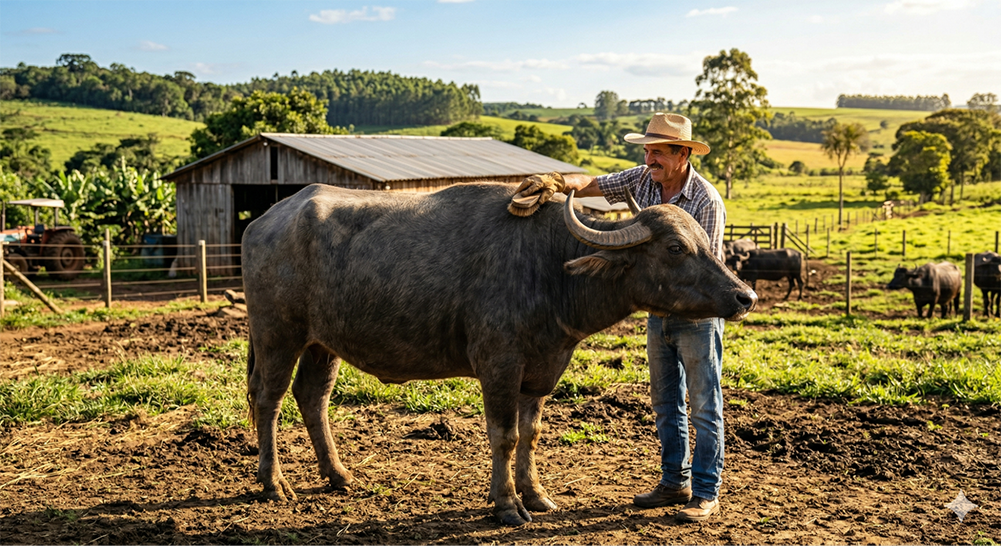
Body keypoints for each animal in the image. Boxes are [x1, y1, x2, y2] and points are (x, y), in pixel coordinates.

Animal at [241, 182, 757, 526]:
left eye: (706, 242)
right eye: (675, 247)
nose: (745, 296)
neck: (551, 267)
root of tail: (265, 220)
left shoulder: (541, 368)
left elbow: (530, 435)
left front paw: (536, 495)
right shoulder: (499, 365)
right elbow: (504, 436)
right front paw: (507, 504)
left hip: (322, 343)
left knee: (313, 398)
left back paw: (339, 474)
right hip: (277, 335)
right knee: (268, 399)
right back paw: (273, 483)